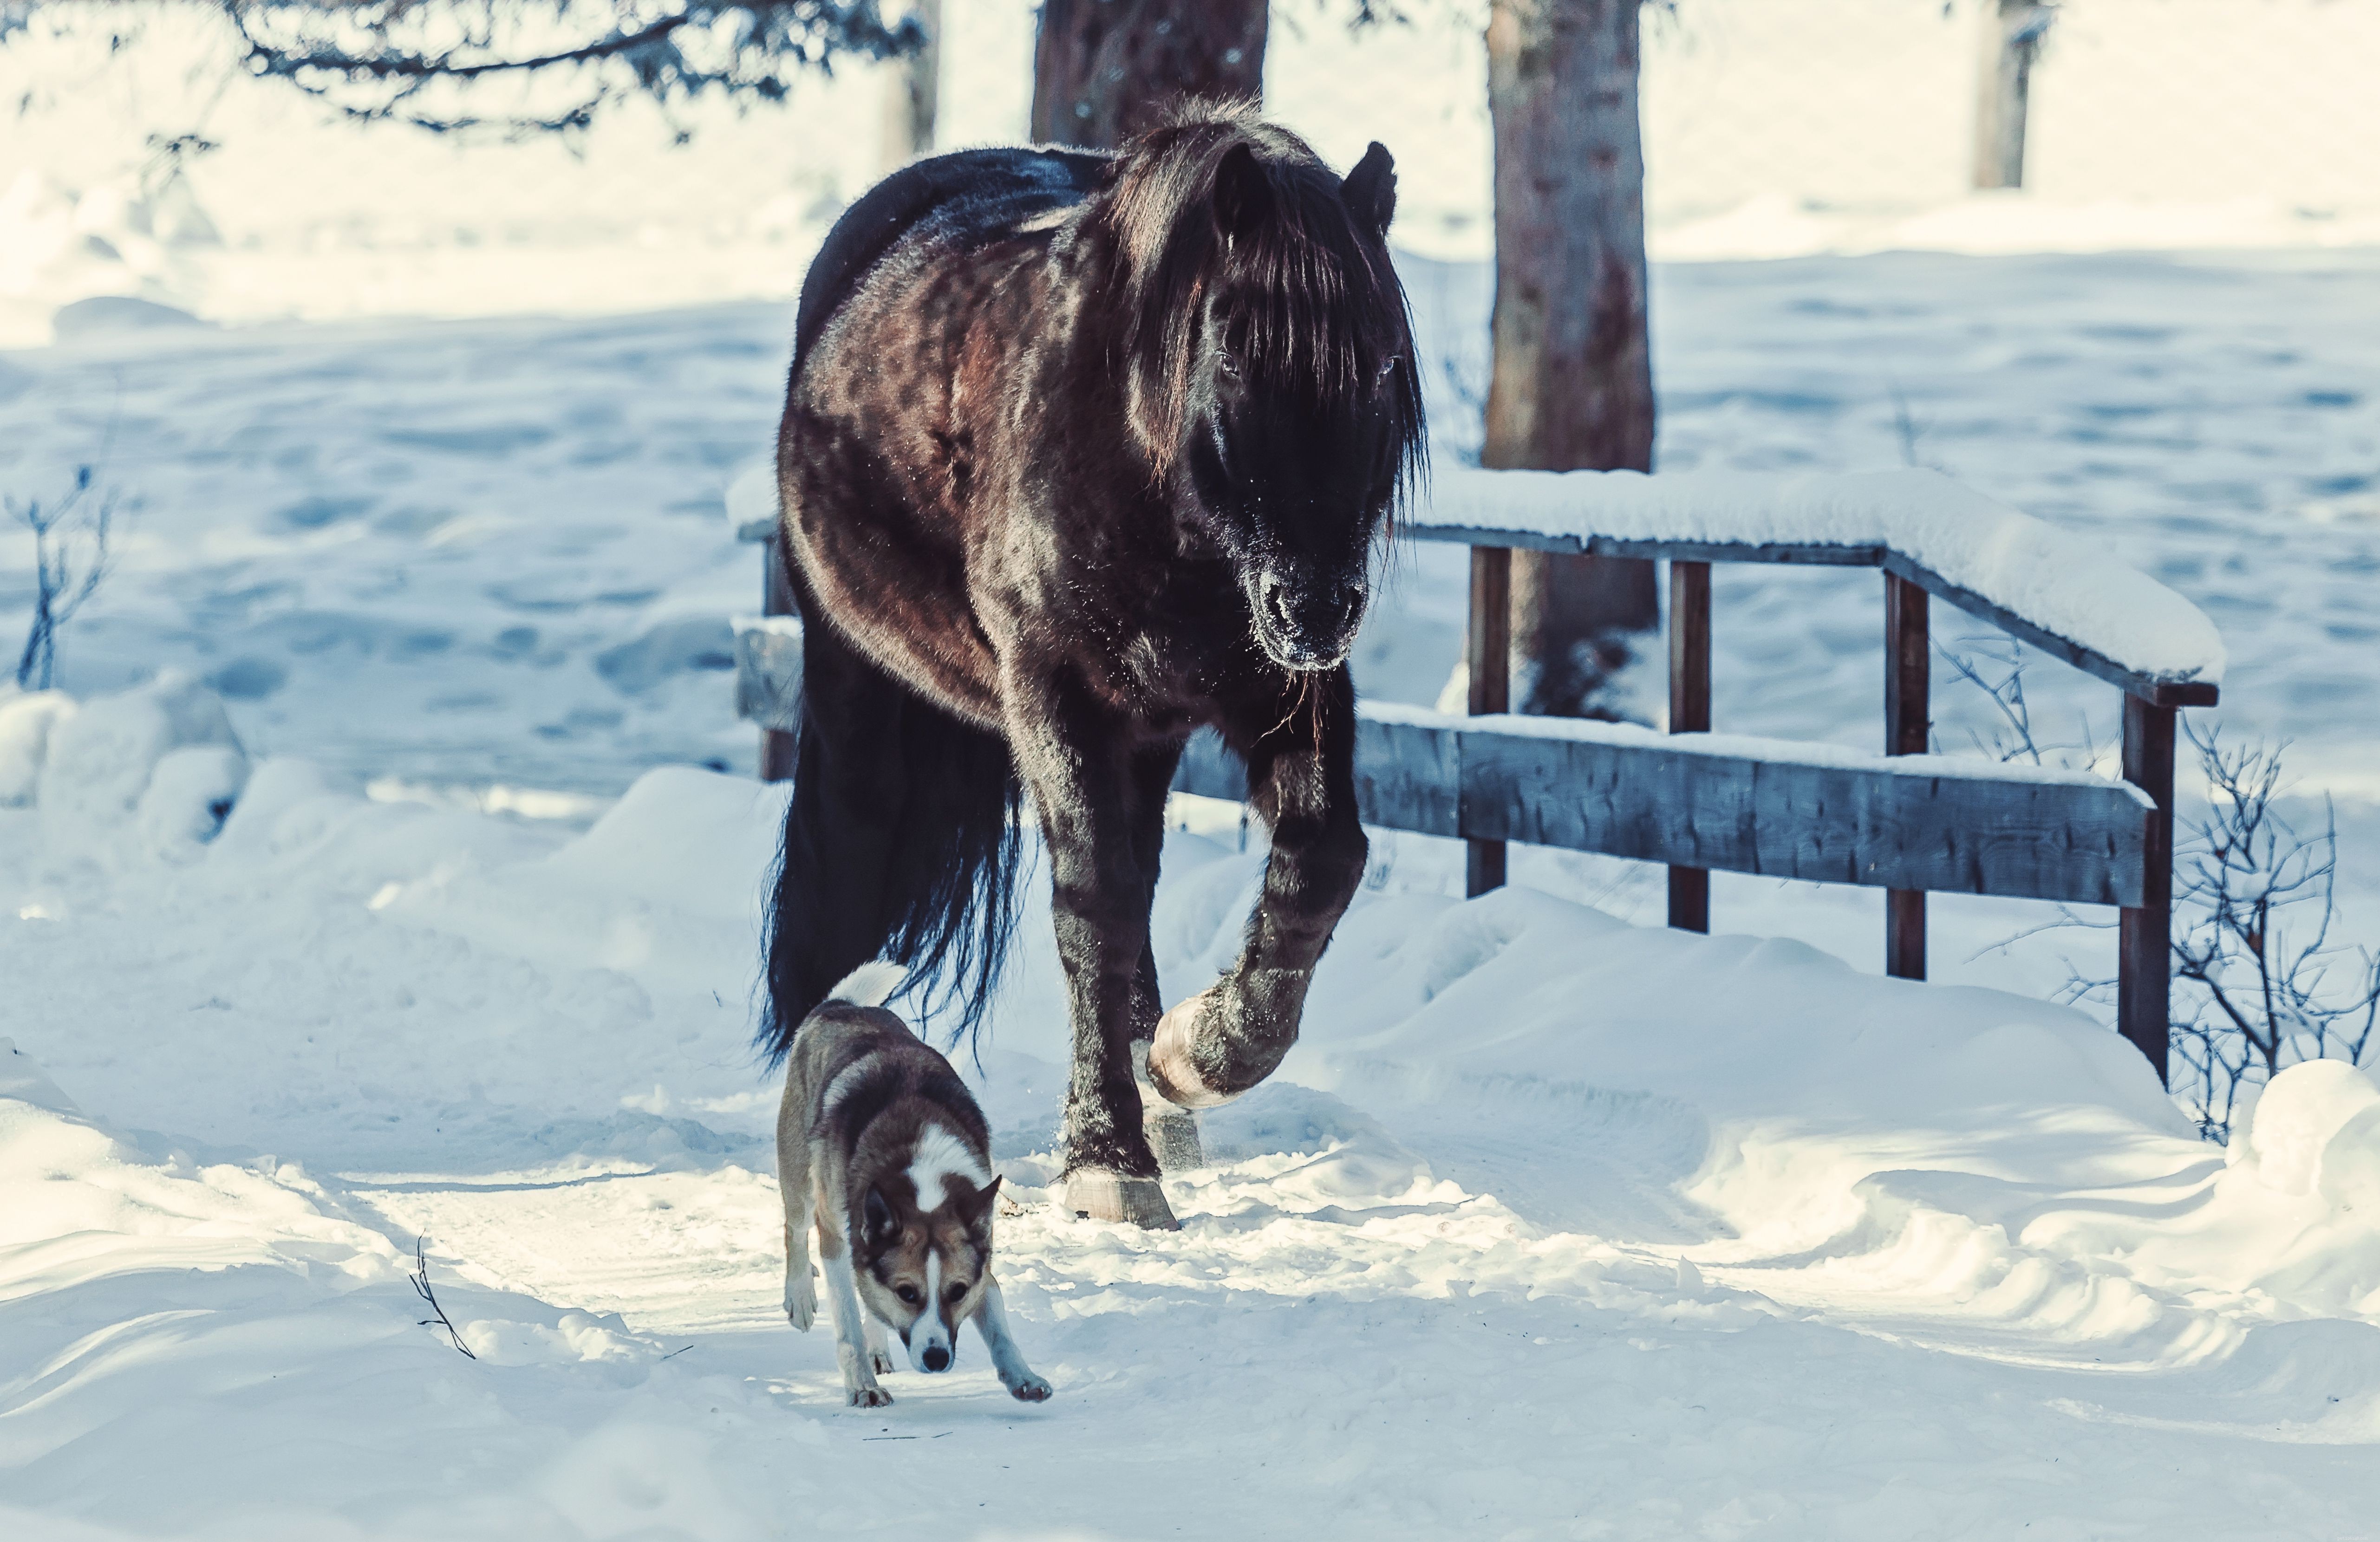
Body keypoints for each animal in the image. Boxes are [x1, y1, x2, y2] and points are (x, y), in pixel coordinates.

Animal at [761, 101, 1424, 1230]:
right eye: (1236, 359)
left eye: (1378, 364)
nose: (1319, 605)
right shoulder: (1055, 692)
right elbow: (1093, 907)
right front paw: (1108, 1158)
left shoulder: (1280, 690)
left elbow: (1321, 861)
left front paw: (1202, 1054)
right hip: (860, 688)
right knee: (855, 856)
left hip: (1154, 729)